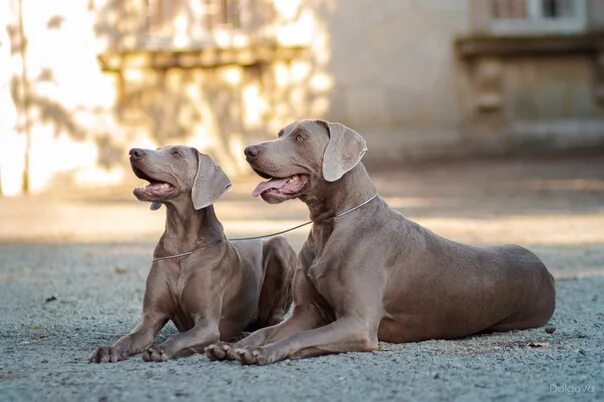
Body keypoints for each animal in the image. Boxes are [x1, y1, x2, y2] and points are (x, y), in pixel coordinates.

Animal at [89, 146, 294, 362]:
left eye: (176, 153)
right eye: (159, 149)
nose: (133, 152)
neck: (182, 246)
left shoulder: (207, 325)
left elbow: (179, 338)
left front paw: (160, 348)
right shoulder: (151, 319)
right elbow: (128, 338)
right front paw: (108, 350)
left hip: (280, 245)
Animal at [205, 118, 556, 364]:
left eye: (300, 137)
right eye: (280, 133)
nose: (249, 150)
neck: (331, 224)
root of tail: (546, 269)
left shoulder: (358, 324)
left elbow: (297, 340)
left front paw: (263, 353)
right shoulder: (306, 312)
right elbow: (266, 331)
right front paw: (233, 346)